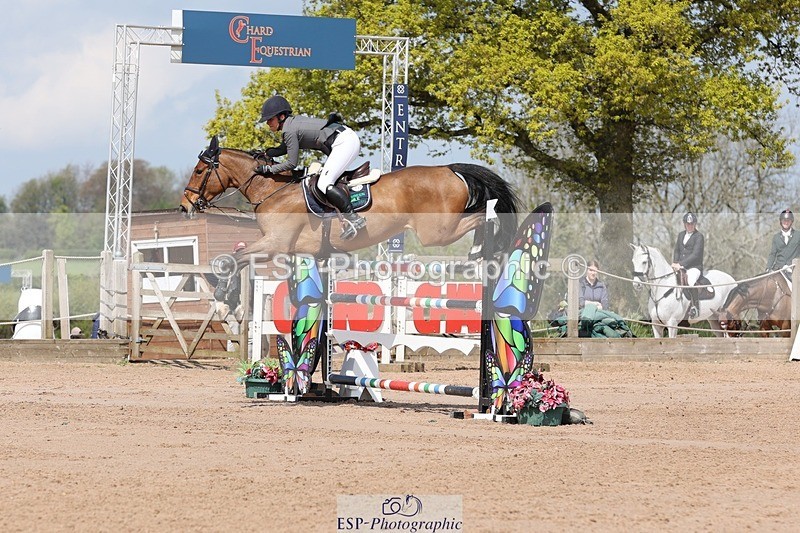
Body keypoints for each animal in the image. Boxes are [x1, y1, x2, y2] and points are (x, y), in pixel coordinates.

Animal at [180, 136, 520, 267]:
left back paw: (482, 249)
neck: (272, 191)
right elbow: (239, 259)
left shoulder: (275, 243)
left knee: (483, 215)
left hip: (436, 232)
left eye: (199, 171)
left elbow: (230, 259)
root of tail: (449, 169)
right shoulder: (281, 249)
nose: (185, 207)